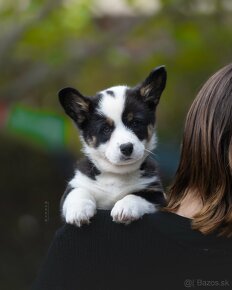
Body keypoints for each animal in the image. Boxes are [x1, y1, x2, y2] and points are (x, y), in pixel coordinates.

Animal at [58, 65, 167, 227]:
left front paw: (124, 208)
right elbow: (78, 192)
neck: (117, 174)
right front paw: (79, 212)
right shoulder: (76, 184)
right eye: (106, 129)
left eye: (135, 123)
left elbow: (136, 195)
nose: (127, 148)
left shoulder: (156, 193)